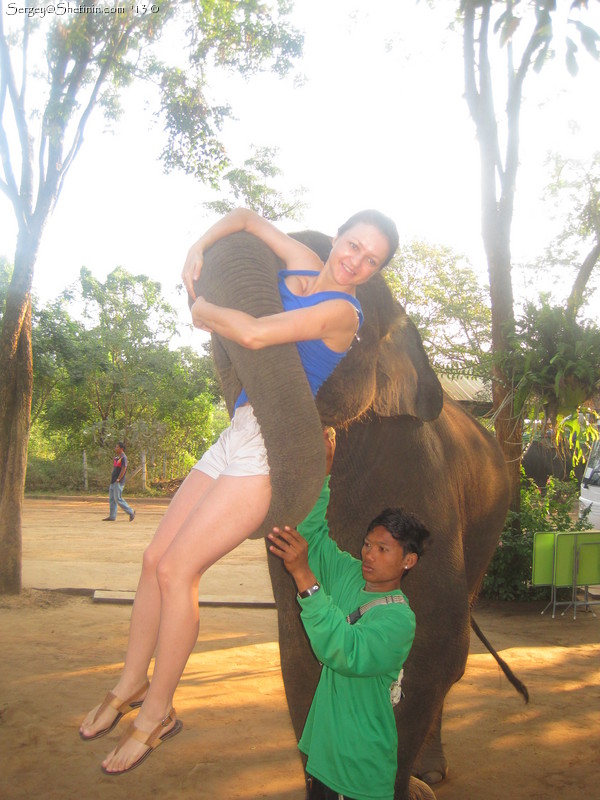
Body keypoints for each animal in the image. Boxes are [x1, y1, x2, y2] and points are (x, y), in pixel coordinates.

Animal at [195, 228, 512, 796]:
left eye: (343, 333)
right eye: (220, 344)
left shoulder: (423, 484)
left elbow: (436, 644)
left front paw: (401, 787)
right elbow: (299, 651)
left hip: (491, 521)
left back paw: (432, 773)